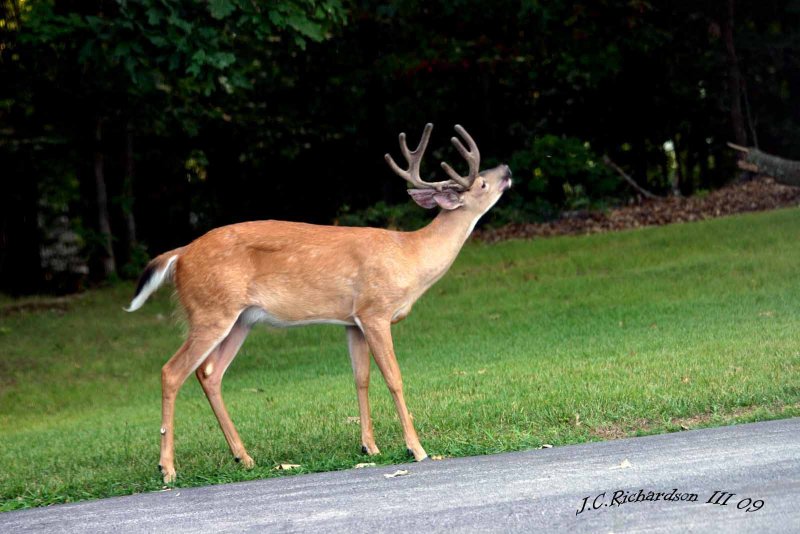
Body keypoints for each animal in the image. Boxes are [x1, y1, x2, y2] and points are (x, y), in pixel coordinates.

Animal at [125, 124, 512, 486]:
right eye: (481, 183)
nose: (507, 168)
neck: (411, 257)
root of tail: (179, 255)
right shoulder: (375, 310)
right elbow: (394, 377)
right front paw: (416, 448)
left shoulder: (352, 321)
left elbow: (361, 378)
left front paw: (369, 447)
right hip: (210, 310)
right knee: (172, 371)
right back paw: (167, 469)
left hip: (240, 319)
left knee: (209, 374)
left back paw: (243, 457)